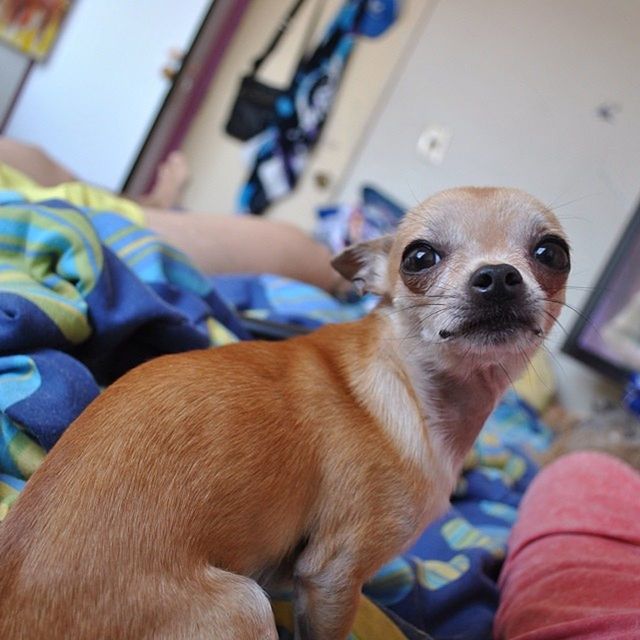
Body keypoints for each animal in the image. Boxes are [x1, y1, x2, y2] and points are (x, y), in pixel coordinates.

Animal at [0, 188, 568, 636]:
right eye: (419, 258)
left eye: (553, 252)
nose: (497, 275)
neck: (415, 386)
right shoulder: (333, 576)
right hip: (243, 605)